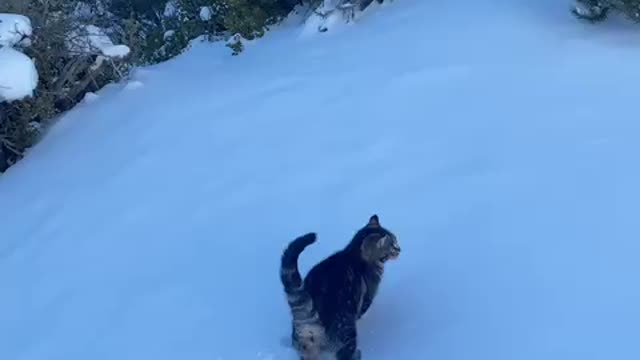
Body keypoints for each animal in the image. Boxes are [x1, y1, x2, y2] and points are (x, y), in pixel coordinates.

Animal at [280, 215, 400, 358]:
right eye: (392, 245)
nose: (400, 249)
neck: (355, 254)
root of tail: (310, 319)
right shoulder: (366, 299)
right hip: (346, 333)